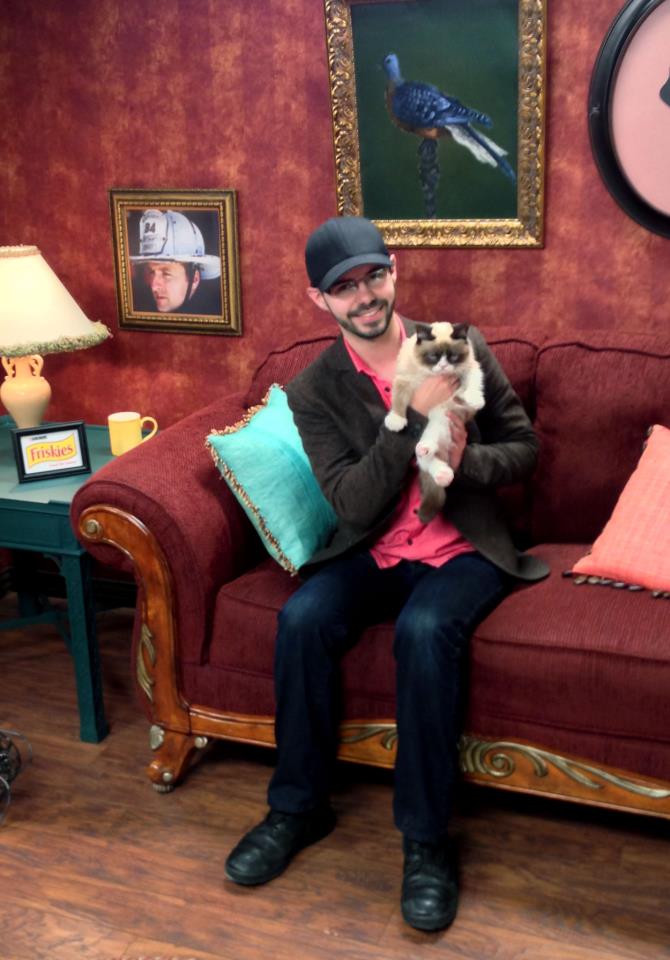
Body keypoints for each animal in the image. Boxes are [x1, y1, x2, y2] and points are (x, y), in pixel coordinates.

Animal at [384, 321, 485, 524]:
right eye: (433, 357)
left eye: (453, 356)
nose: (444, 365)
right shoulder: (404, 381)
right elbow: (398, 401)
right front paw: (396, 420)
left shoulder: (470, 367)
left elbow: (473, 382)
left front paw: (475, 399)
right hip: (432, 429)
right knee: (426, 458)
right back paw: (435, 465)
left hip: (442, 422)